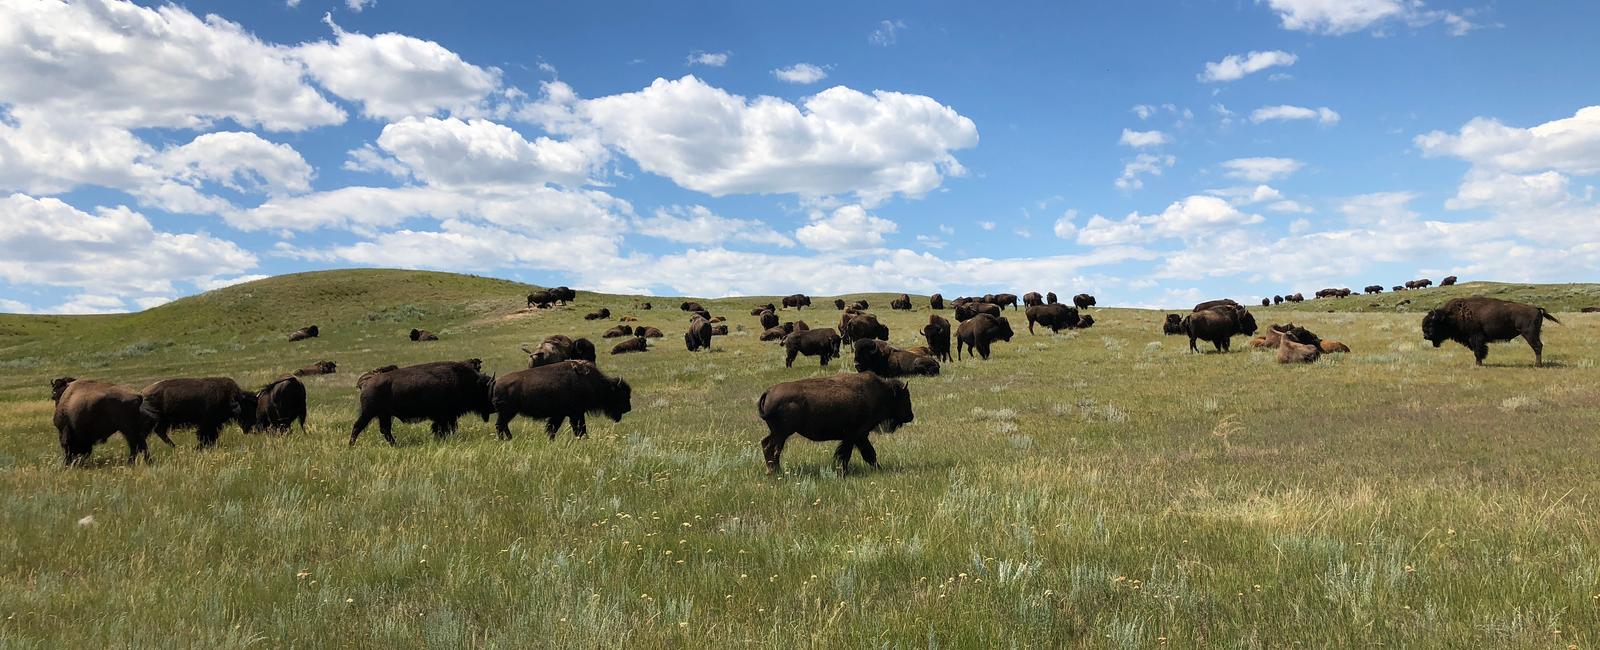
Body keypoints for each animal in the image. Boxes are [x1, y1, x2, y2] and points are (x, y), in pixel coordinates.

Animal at [350, 358, 492, 445]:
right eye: (485, 391)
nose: (492, 407)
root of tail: (366, 382)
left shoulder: (445, 417)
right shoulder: (445, 416)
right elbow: (442, 428)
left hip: (384, 415)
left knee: (385, 430)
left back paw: (396, 445)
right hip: (369, 413)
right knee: (358, 427)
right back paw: (351, 446)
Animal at [492, 358, 630, 438]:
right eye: (621, 394)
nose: (628, 408)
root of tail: (496, 383)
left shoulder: (567, 414)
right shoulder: (572, 414)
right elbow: (576, 428)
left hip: (508, 413)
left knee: (502, 425)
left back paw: (509, 439)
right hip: (508, 412)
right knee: (500, 425)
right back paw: (506, 439)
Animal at [758, 373, 915, 473]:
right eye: (905, 397)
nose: (910, 416)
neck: (881, 393)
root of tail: (768, 392)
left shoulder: (858, 437)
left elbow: (867, 454)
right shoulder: (856, 435)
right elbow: (854, 454)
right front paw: (844, 472)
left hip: (777, 433)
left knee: (766, 444)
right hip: (782, 433)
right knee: (772, 448)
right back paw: (773, 471)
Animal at [1420, 296, 1555, 365]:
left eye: (1431, 324)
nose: (1425, 336)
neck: (1450, 316)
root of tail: (1536, 308)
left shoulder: (1476, 338)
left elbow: (1478, 351)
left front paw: (1478, 364)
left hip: (1529, 334)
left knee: (1537, 347)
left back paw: (1537, 365)